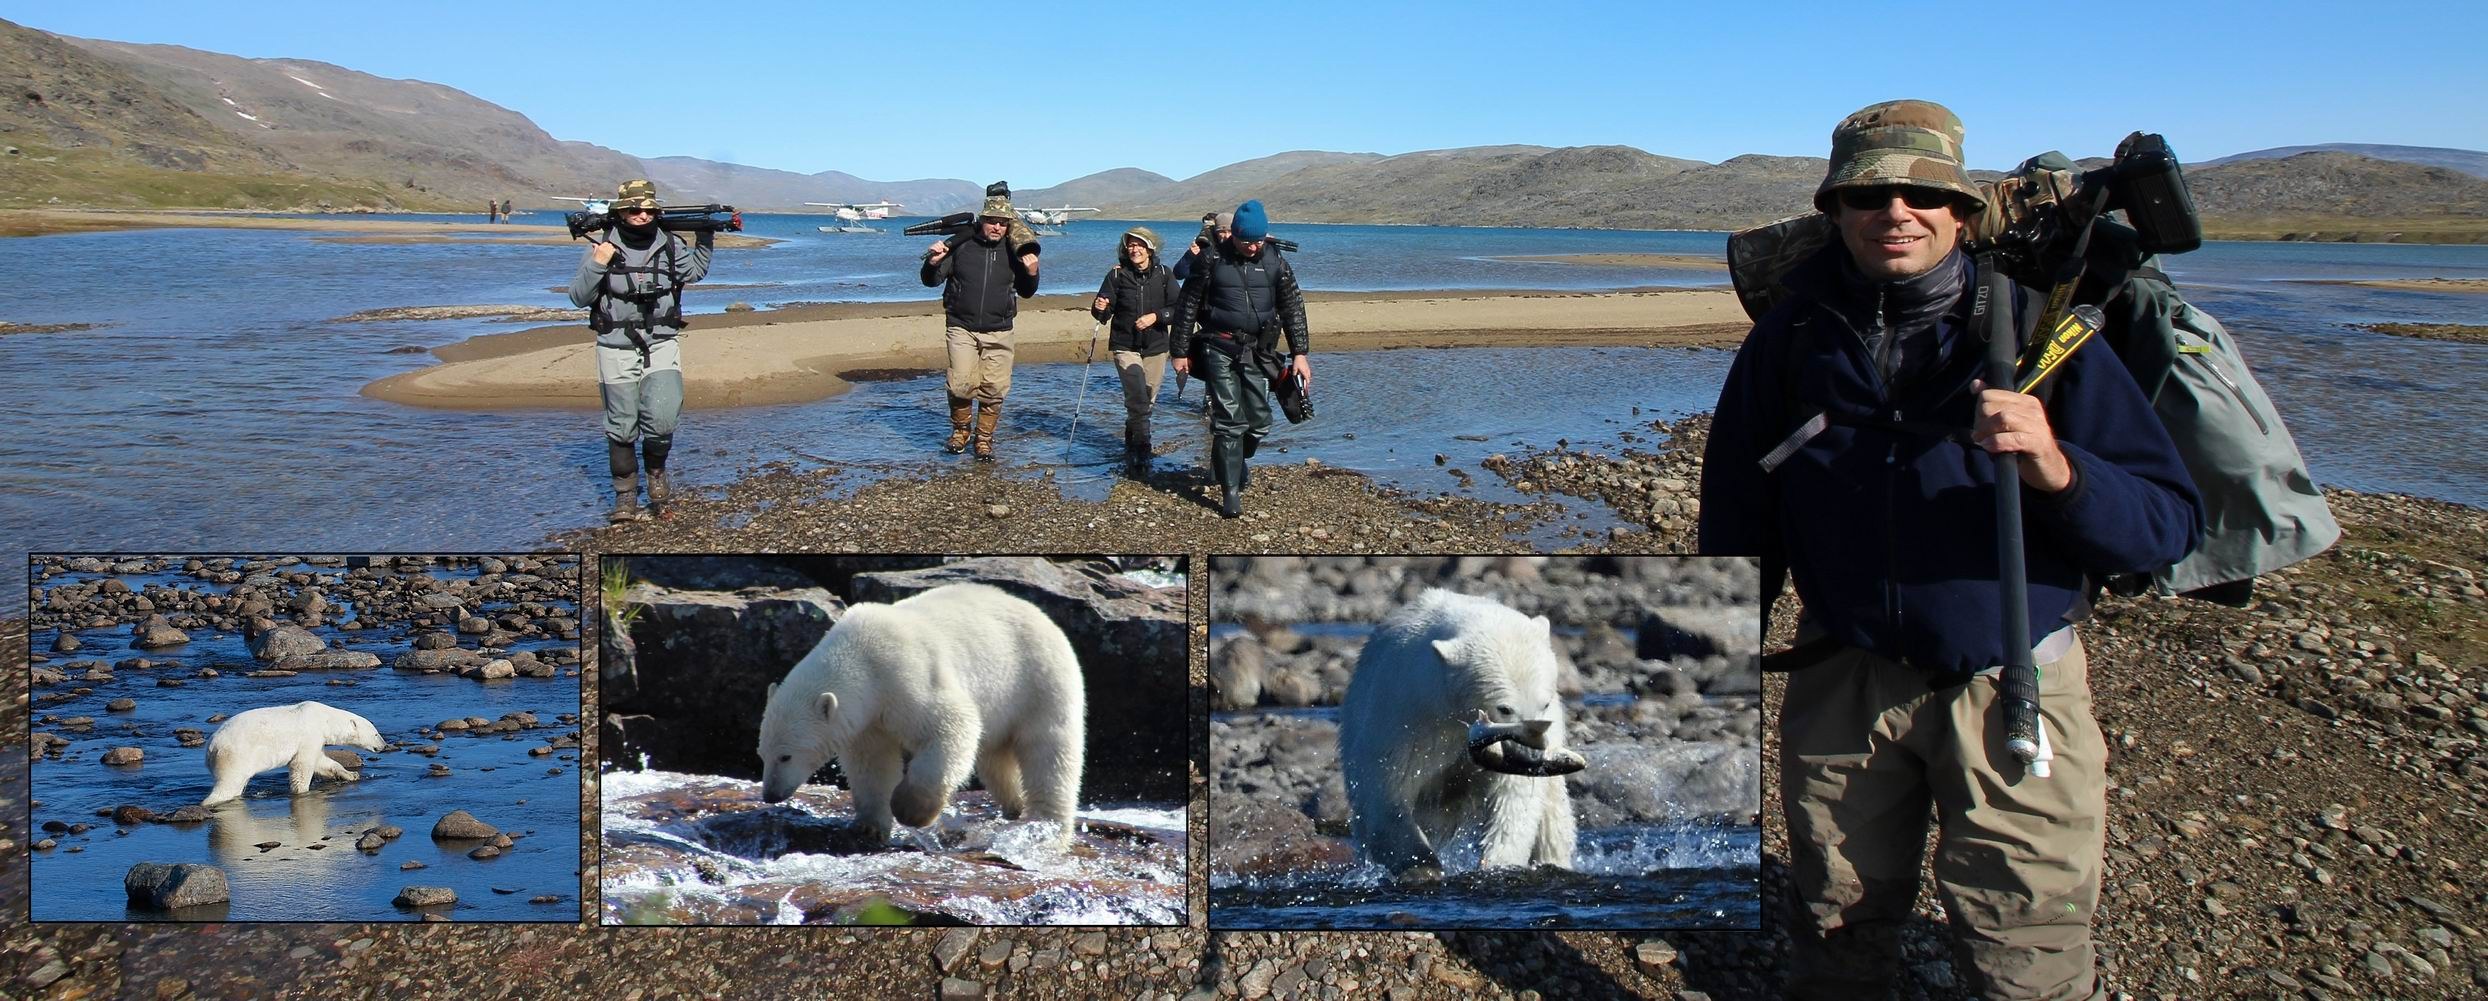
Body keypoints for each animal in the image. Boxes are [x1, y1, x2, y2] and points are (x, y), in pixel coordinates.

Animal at [199, 701, 388, 807]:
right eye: (376, 733)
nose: (384, 746)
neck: (325, 719)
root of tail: (211, 748)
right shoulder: (310, 734)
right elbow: (302, 765)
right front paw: (302, 791)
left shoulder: (316, 739)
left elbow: (322, 761)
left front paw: (351, 774)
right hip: (236, 756)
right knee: (228, 785)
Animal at [757, 582, 1087, 846]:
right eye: (762, 754)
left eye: (785, 756)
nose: (770, 795)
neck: (860, 657)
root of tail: (1044, 617)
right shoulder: (868, 721)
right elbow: (872, 763)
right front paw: (869, 827)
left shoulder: (907, 677)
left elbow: (951, 727)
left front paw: (911, 810)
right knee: (995, 758)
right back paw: (1013, 805)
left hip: (1038, 680)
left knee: (1049, 751)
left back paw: (1047, 824)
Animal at [1338, 588, 1578, 877]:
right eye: (1505, 709)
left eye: (1544, 704)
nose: (1530, 757)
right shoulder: (1408, 715)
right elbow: (1388, 792)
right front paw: (1423, 866)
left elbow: (1513, 797)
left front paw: (1498, 863)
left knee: (1553, 817)